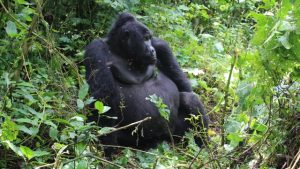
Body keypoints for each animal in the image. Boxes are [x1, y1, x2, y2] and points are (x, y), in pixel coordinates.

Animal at [83, 11, 207, 154]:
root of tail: (164, 138)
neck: (122, 51)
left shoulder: (161, 46)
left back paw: (201, 143)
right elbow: (104, 95)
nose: (152, 49)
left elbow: (183, 87)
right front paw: (109, 148)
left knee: (189, 98)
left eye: (149, 38)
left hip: (175, 133)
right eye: (145, 38)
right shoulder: (95, 48)